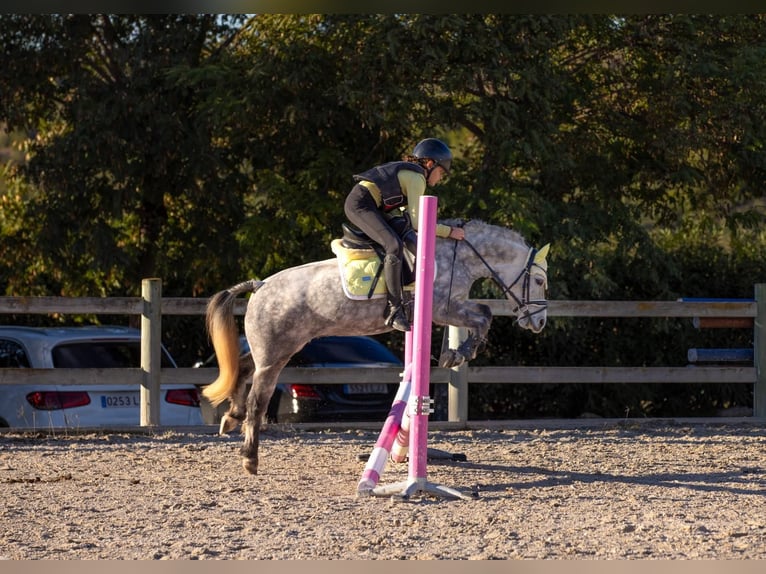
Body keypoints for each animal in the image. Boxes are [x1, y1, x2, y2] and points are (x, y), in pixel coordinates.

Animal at [202, 218, 550, 475]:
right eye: (539, 282)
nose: (539, 323)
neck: (457, 256)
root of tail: (260, 285)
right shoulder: (442, 308)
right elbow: (484, 315)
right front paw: (457, 355)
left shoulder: (450, 307)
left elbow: (483, 315)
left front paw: (456, 354)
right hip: (275, 355)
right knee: (257, 402)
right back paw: (249, 458)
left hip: (279, 349)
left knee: (243, 368)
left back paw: (230, 418)